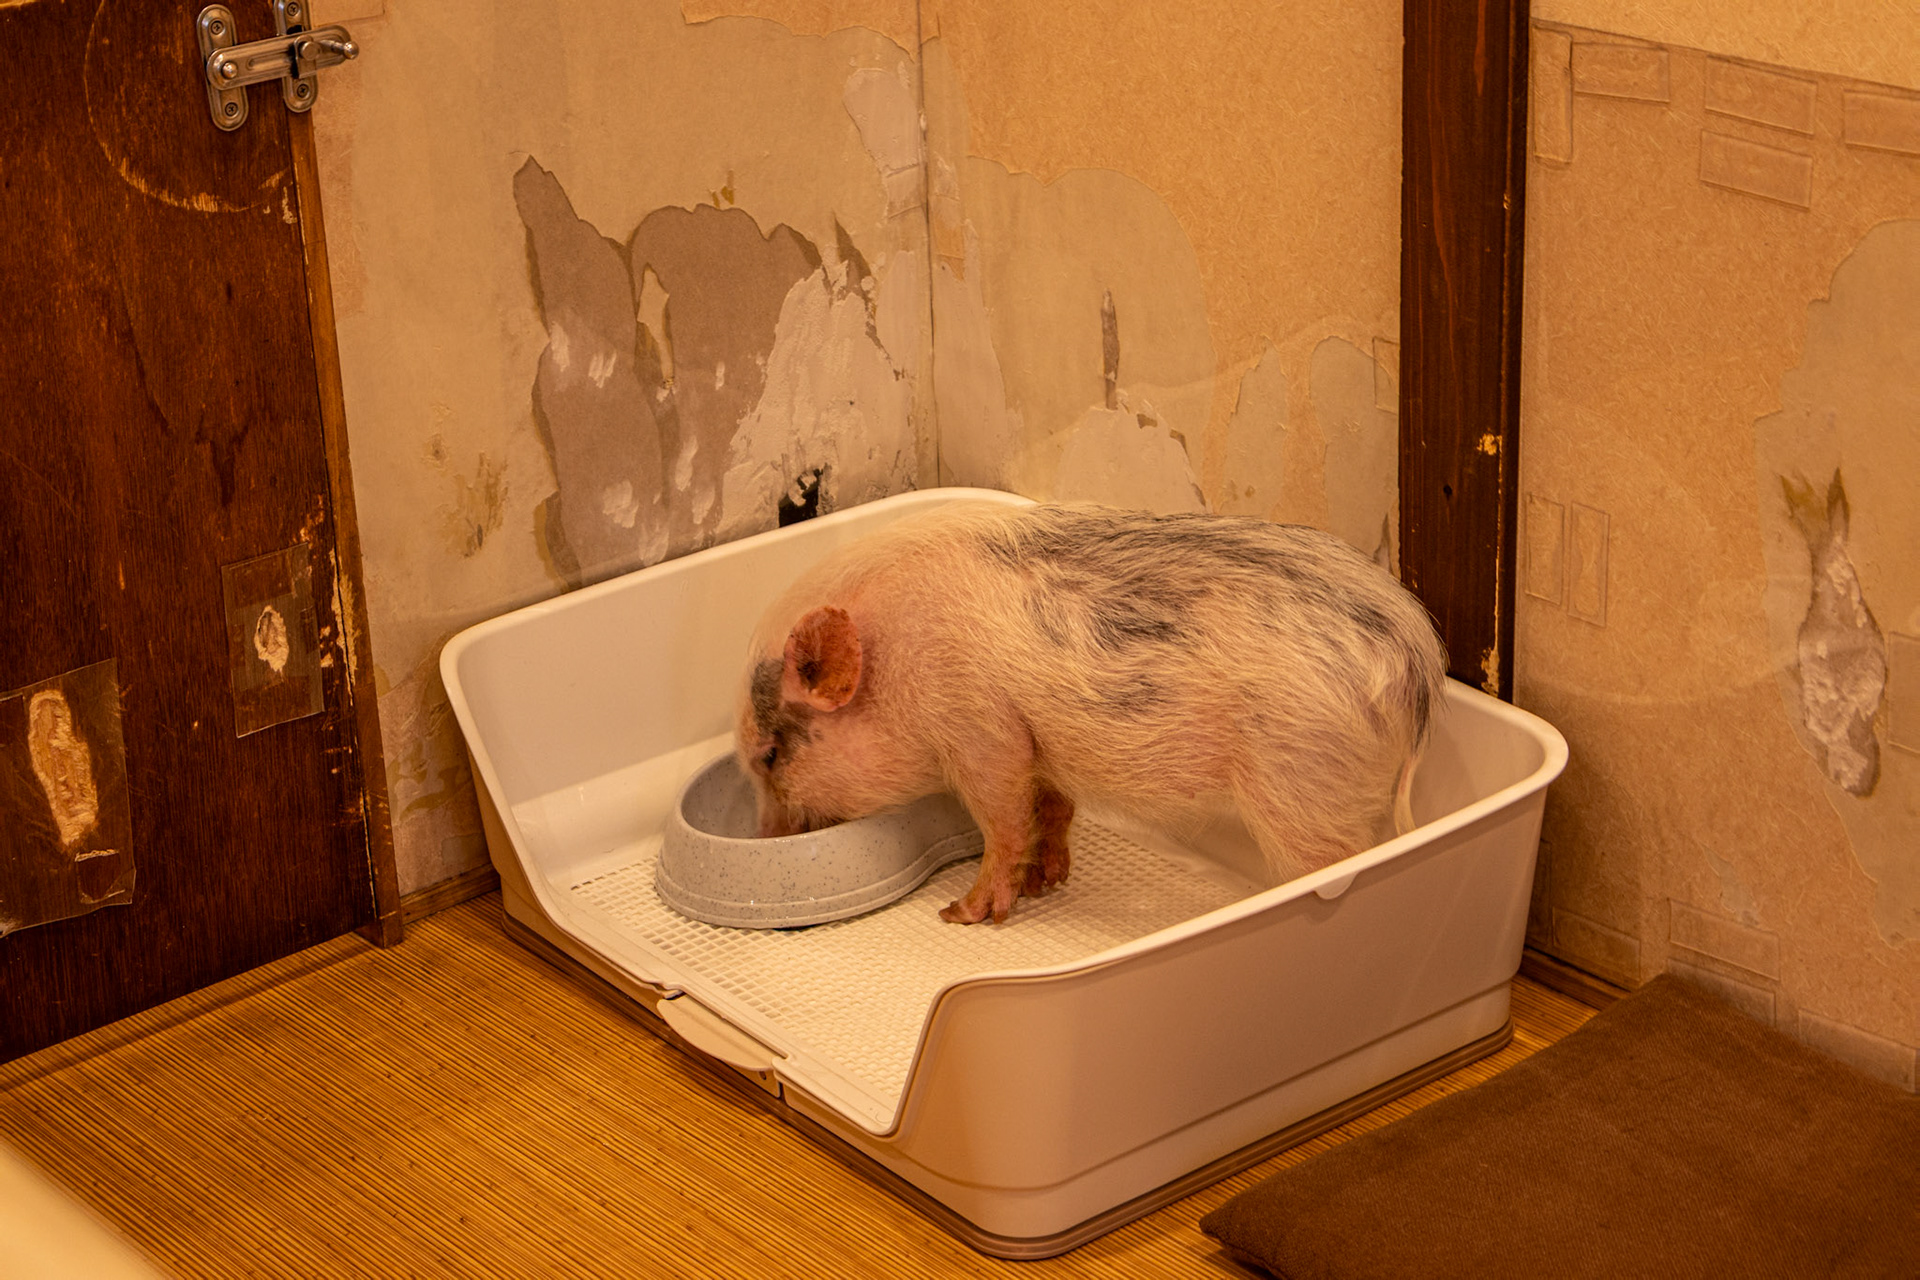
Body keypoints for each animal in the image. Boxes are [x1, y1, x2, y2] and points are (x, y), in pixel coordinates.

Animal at [734, 502, 1447, 925]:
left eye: (769, 755)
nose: (762, 839)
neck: (896, 661)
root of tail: (1415, 658)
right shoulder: (1041, 749)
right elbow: (1051, 807)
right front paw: (1047, 885)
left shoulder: (980, 732)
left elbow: (1004, 820)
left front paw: (964, 915)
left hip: (1302, 783)